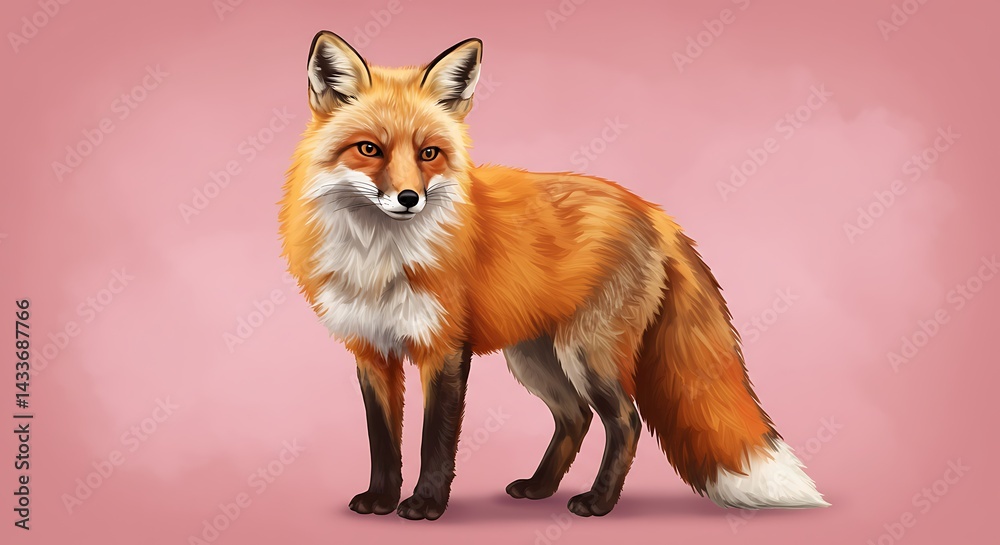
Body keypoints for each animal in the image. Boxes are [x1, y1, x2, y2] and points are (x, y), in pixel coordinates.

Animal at [278, 31, 829, 520]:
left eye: (428, 153)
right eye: (369, 149)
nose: (409, 199)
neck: (380, 257)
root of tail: (653, 211)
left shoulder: (445, 349)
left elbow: (435, 440)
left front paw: (426, 505)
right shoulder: (371, 350)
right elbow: (382, 440)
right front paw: (381, 500)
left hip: (586, 353)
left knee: (625, 421)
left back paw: (598, 503)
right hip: (534, 357)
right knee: (575, 417)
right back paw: (539, 487)